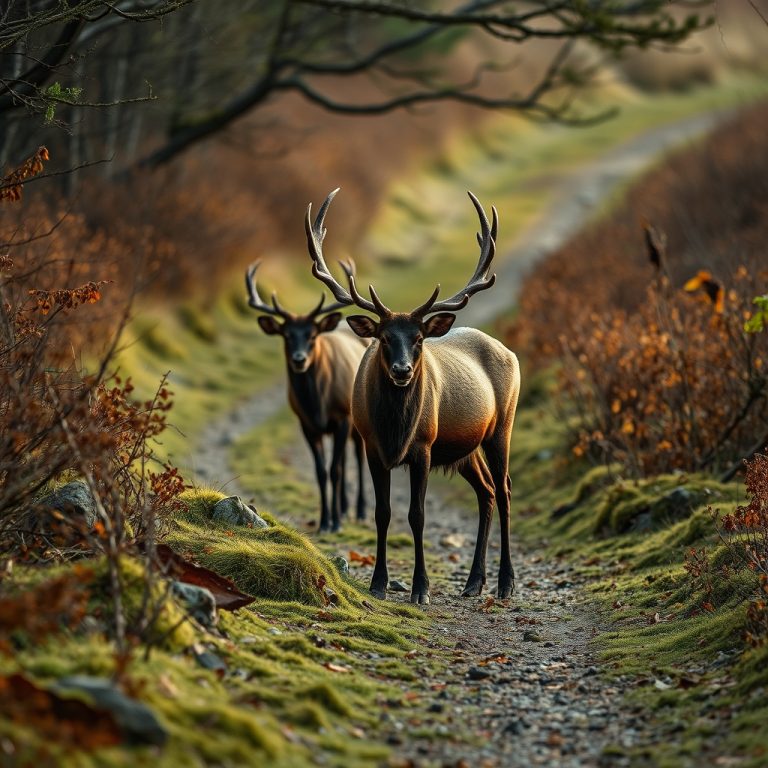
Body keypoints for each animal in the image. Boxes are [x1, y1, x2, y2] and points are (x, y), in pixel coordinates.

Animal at [245, 255, 369, 533]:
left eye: (312, 335)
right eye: (286, 335)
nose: (299, 359)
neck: (318, 403)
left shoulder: (343, 416)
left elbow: (334, 470)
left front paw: (335, 524)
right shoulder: (306, 423)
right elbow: (321, 471)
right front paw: (325, 522)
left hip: (358, 418)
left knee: (357, 456)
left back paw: (360, 511)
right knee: (343, 459)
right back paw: (343, 508)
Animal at [305, 188, 520, 604]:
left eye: (418, 338)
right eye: (385, 337)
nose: (402, 371)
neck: (395, 431)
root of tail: (510, 353)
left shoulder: (423, 445)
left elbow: (416, 515)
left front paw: (421, 588)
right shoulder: (372, 445)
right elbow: (383, 512)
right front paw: (378, 583)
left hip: (502, 425)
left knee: (503, 490)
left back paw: (505, 583)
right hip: (465, 448)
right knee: (486, 491)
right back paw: (473, 582)